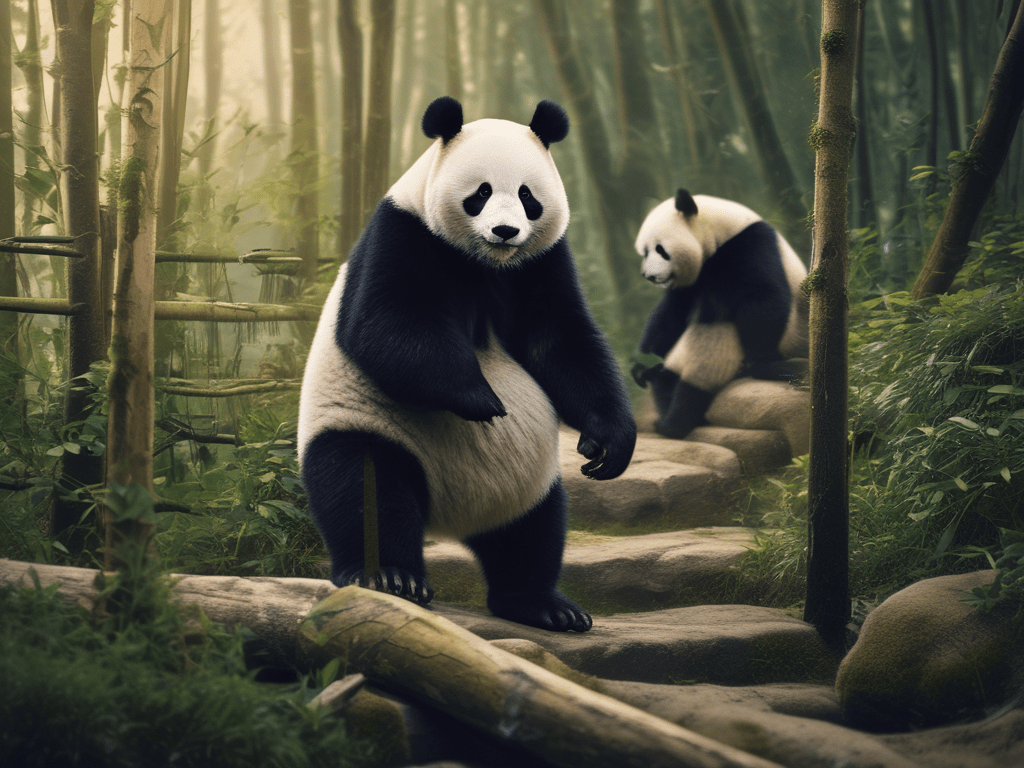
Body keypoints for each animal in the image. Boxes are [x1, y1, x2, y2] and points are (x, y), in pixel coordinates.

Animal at [298, 96, 636, 633]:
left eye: (526, 196)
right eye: (480, 193)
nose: (505, 231)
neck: (485, 263)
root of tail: (453, 518)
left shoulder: (542, 261)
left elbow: (562, 342)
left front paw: (608, 444)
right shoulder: (405, 231)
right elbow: (385, 321)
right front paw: (481, 398)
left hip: (530, 481)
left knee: (533, 532)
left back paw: (543, 604)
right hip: (369, 427)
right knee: (365, 491)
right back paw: (392, 577)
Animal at [632, 189, 808, 439]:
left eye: (659, 249)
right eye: (644, 252)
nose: (649, 276)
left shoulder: (751, 244)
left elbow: (764, 297)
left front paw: (766, 365)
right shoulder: (692, 280)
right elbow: (670, 314)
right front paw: (640, 367)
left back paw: (678, 419)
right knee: (664, 378)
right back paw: (667, 413)